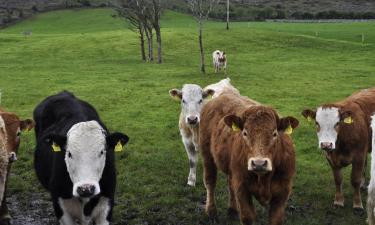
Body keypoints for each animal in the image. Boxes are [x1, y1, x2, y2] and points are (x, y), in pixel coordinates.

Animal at [34, 91, 131, 225]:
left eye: (102, 152)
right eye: (69, 153)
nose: (86, 189)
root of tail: (64, 93)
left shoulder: (107, 201)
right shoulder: (60, 205)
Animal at [200, 92, 300, 225]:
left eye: (274, 133)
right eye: (245, 133)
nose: (259, 163)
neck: (264, 179)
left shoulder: (283, 191)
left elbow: (276, 219)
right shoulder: (242, 188)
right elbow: (247, 217)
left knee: (229, 183)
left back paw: (232, 210)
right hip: (207, 154)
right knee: (210, 182)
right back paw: (211, 212)